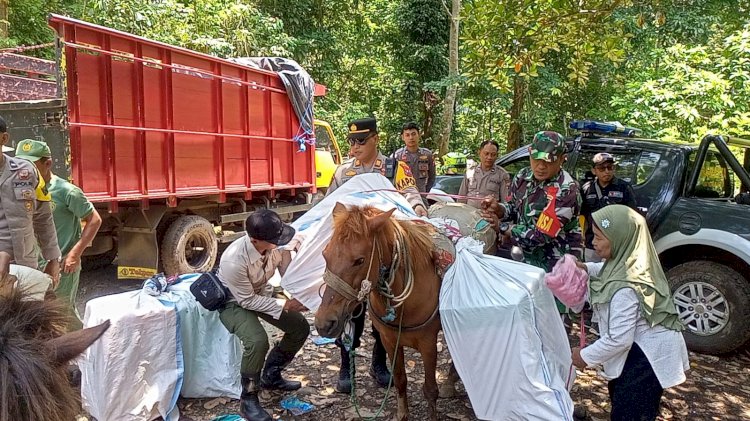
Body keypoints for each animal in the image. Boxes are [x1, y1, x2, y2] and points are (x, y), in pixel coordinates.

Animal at [316, 203, 458, 416]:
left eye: (359, 260)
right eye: (325, 254)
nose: (324, 323)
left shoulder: (428, 343)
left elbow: (430, 390)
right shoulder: (390, 340)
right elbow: (400, 381)